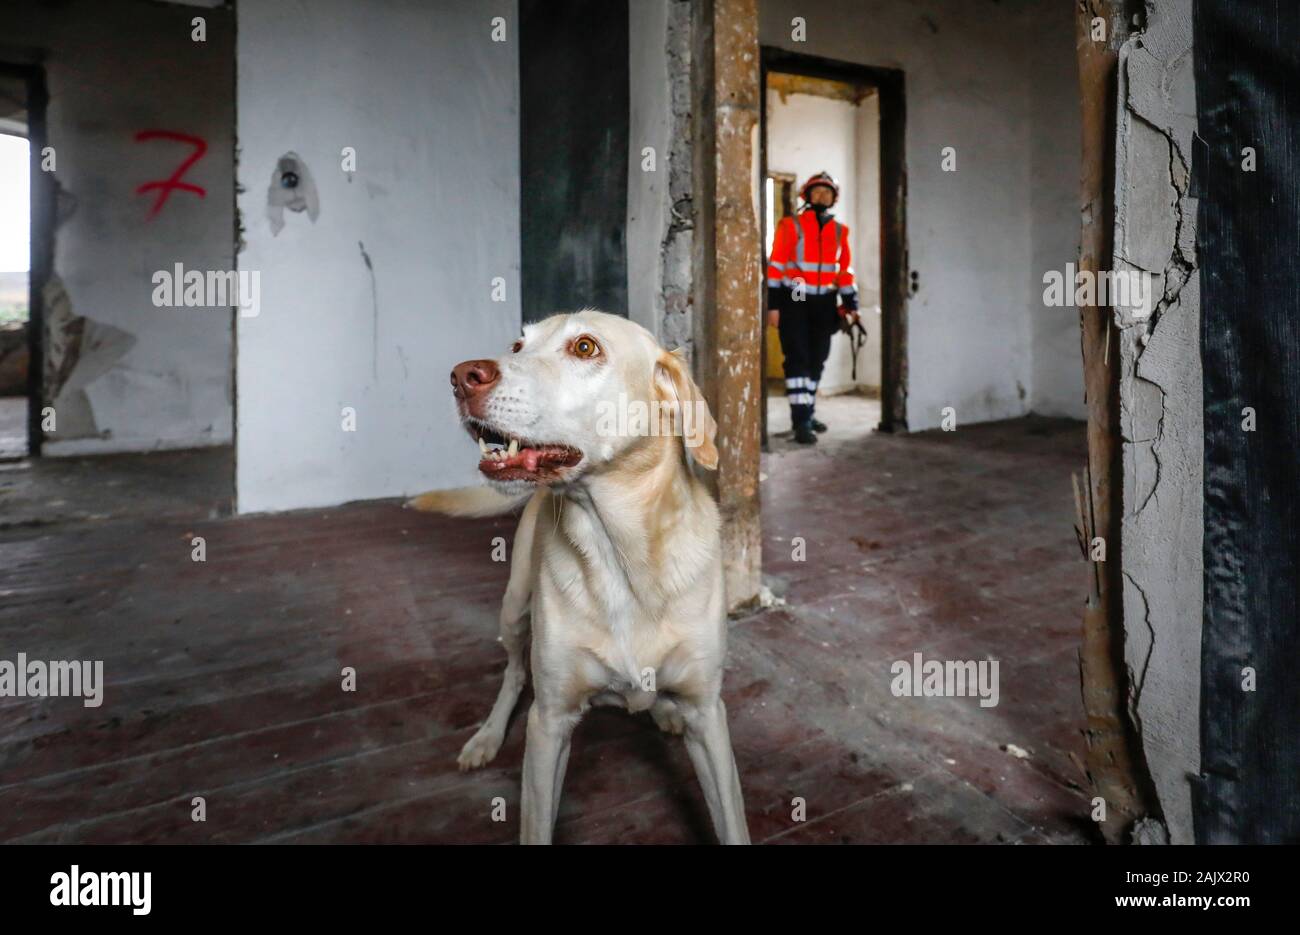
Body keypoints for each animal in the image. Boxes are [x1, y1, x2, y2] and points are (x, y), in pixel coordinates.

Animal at [408, 310, 754, 842]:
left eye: (585, 347)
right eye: (517, 345)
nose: (462, 375)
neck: (619, 556)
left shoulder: (708, 715)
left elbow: (732, 821)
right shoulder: (548, 724)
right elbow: (535, 823)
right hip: (514, 610)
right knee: (513, 673)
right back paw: (487, 736)